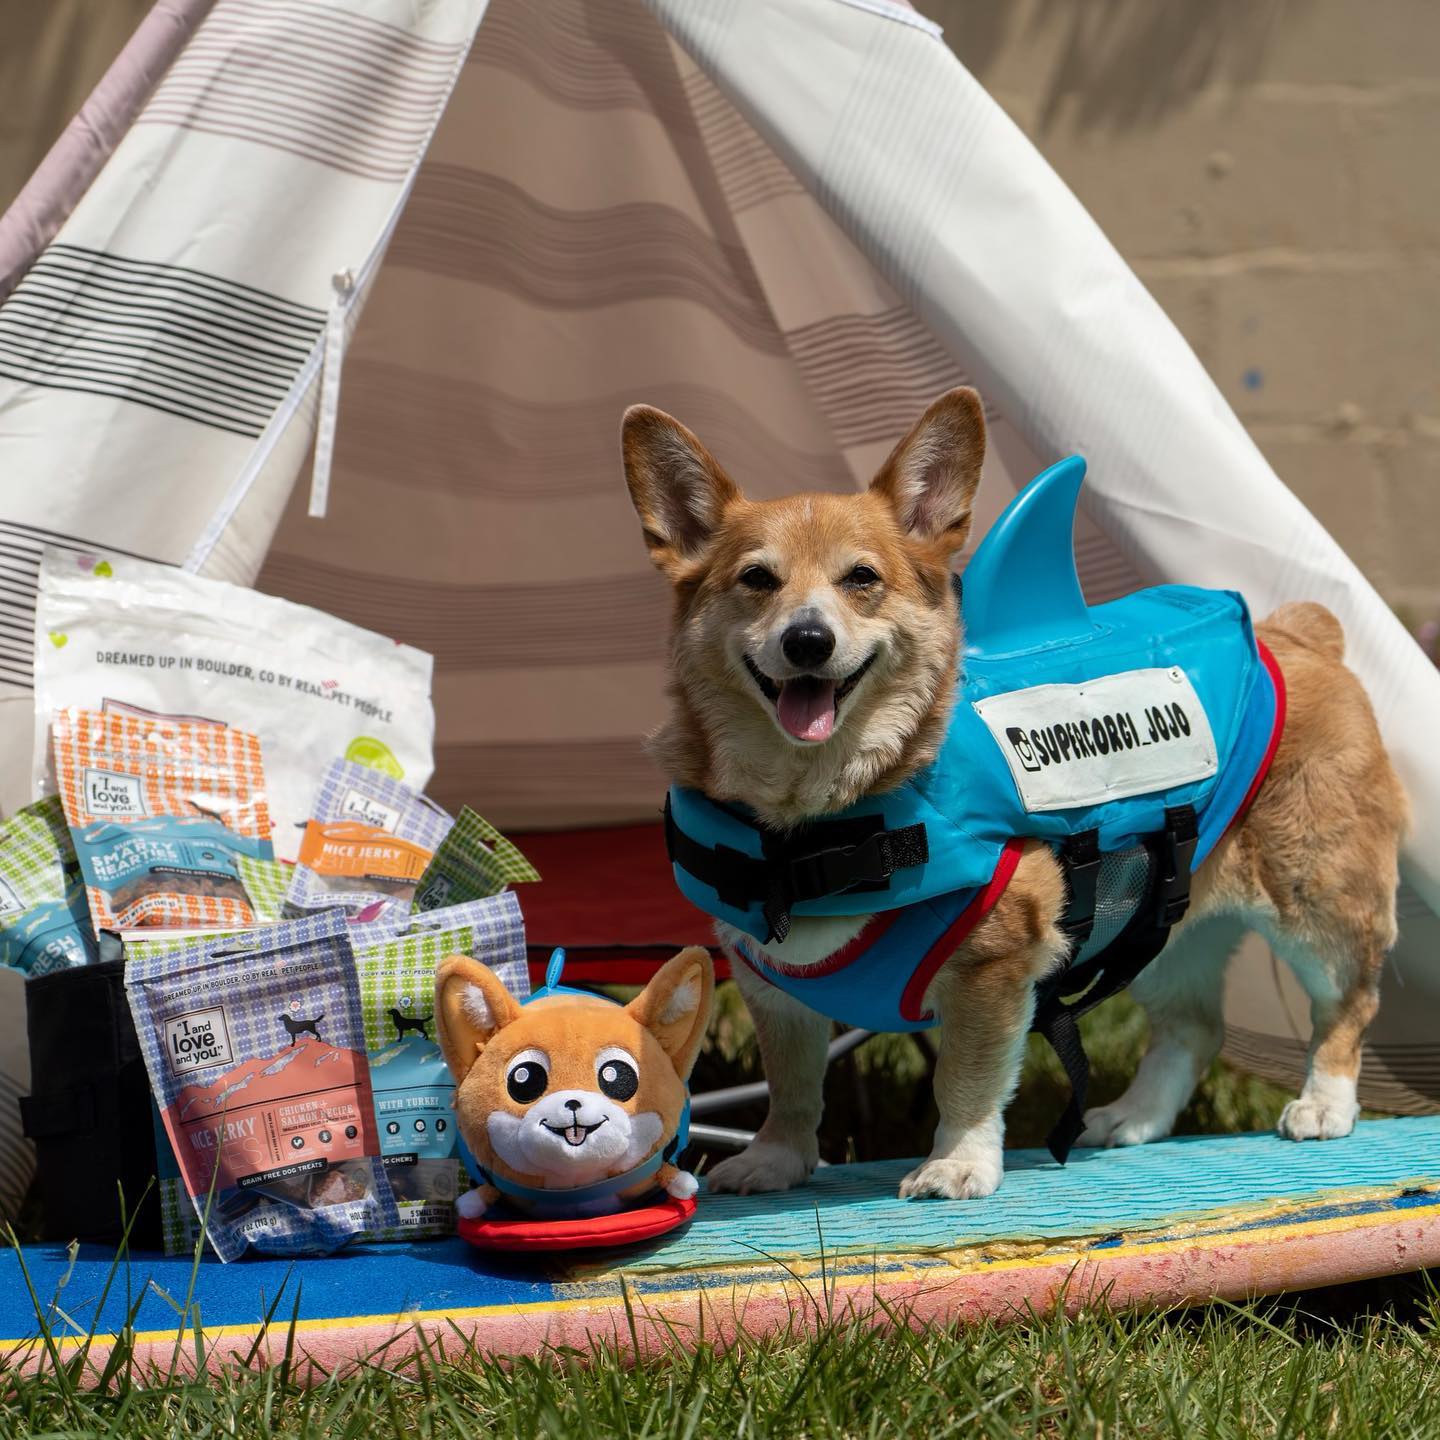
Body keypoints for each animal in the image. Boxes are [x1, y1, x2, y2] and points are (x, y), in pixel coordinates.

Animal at [622, 388, 1405, 1198]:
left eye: (861, 578)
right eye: (757, 580)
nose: (807, 641)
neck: (814, 826)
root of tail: (1299, 633)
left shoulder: (992, 966)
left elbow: (966, 1080)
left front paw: (958, 1162)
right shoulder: (769, 982)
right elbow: (794, 1082)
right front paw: (776, 1158)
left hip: (1317, 908)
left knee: (1348, 1001)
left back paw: (1325, 1103)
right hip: (1159, 926)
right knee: (1192, 1028)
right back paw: (1134, 1118)